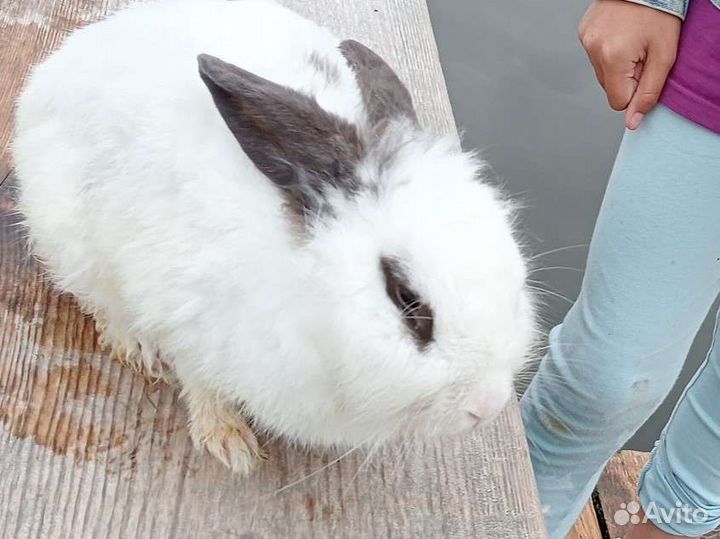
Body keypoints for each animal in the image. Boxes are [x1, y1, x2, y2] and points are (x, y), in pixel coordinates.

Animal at [12, 0, 536, 474]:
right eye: (407, 300)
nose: (486, 405)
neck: (310, 301)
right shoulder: (184, 316)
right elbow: (200, 381)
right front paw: (229, 443)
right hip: (73, 241)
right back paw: (139, 349)